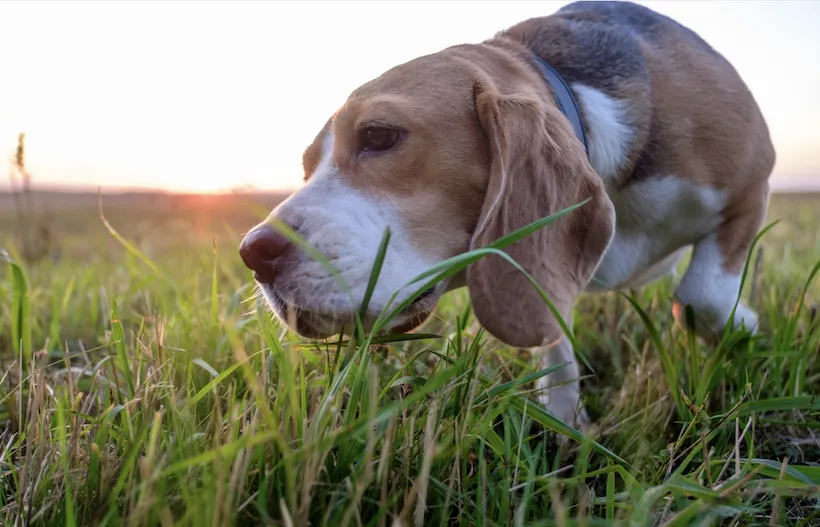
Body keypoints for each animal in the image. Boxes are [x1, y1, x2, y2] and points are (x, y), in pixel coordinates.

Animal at [239, 0, 776, 432]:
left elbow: (701, 296)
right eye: (308, 167)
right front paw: (564, 420)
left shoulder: (753, 182)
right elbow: (553, 334)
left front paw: (744, 327)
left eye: (378, 135)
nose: (254, 253)